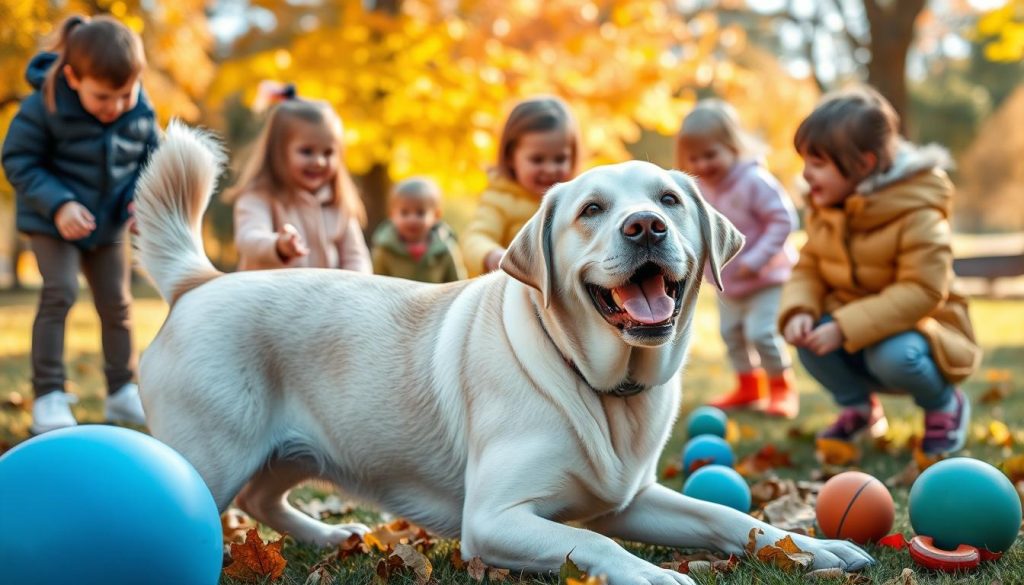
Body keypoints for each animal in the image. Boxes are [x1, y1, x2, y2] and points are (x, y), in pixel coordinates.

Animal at [136, 121, 872, 581]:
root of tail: (200, 280)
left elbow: (727, 515)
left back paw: (330, 537)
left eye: (668, 199)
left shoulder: (630, 497)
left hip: (294, 447)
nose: (646, 226)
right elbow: (591, 541)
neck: (601, 386)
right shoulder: (494, 518)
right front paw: (654, 574)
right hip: (212, 453)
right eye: (591, 210)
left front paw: (817, 546)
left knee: (264, 499)